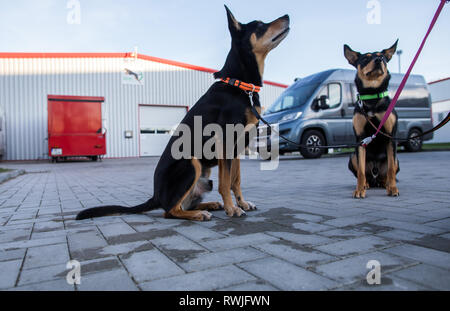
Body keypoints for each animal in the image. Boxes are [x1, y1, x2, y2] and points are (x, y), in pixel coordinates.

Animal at [76, 6, 290, 222]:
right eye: (260, 25)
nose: (287, 16)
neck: (240, 85)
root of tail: (156, 195)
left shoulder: (237, 146)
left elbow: (235, 180)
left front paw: (242, 203)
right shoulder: (225, 142)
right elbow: (225, 182)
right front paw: (233, 209)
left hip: (204, 174)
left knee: (183, 203)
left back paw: (210, 205)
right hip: (191, 163)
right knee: (170, 210)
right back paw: (199, 213)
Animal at [344, 40, 400, 199]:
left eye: (383, 57)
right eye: (365, 58)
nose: (379, 60)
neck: (372, 96)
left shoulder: (390, 137)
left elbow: (391, 170)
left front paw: (393, 189)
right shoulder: (361, 139)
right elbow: (361, 172)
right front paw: (359, 190)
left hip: (396, 159)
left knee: (387, 173)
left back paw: (385, 184)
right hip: (352, 157)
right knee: (364, 174)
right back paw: (367, 184)